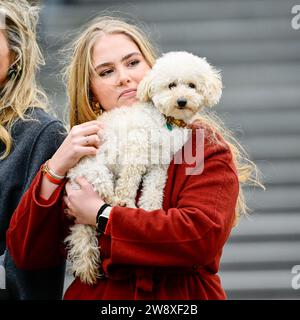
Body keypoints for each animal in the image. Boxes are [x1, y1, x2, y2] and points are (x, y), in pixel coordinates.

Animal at [63, 51, 223, 284]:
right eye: (171, 85)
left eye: (192, 85)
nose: (181, 101)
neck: (167, 122)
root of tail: (73, 174)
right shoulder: (136, 148)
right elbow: (129, 180)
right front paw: (126, 203)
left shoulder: (160, 163)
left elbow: (154, 188)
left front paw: (150, 209)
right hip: (95, 172)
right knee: (103, 196)